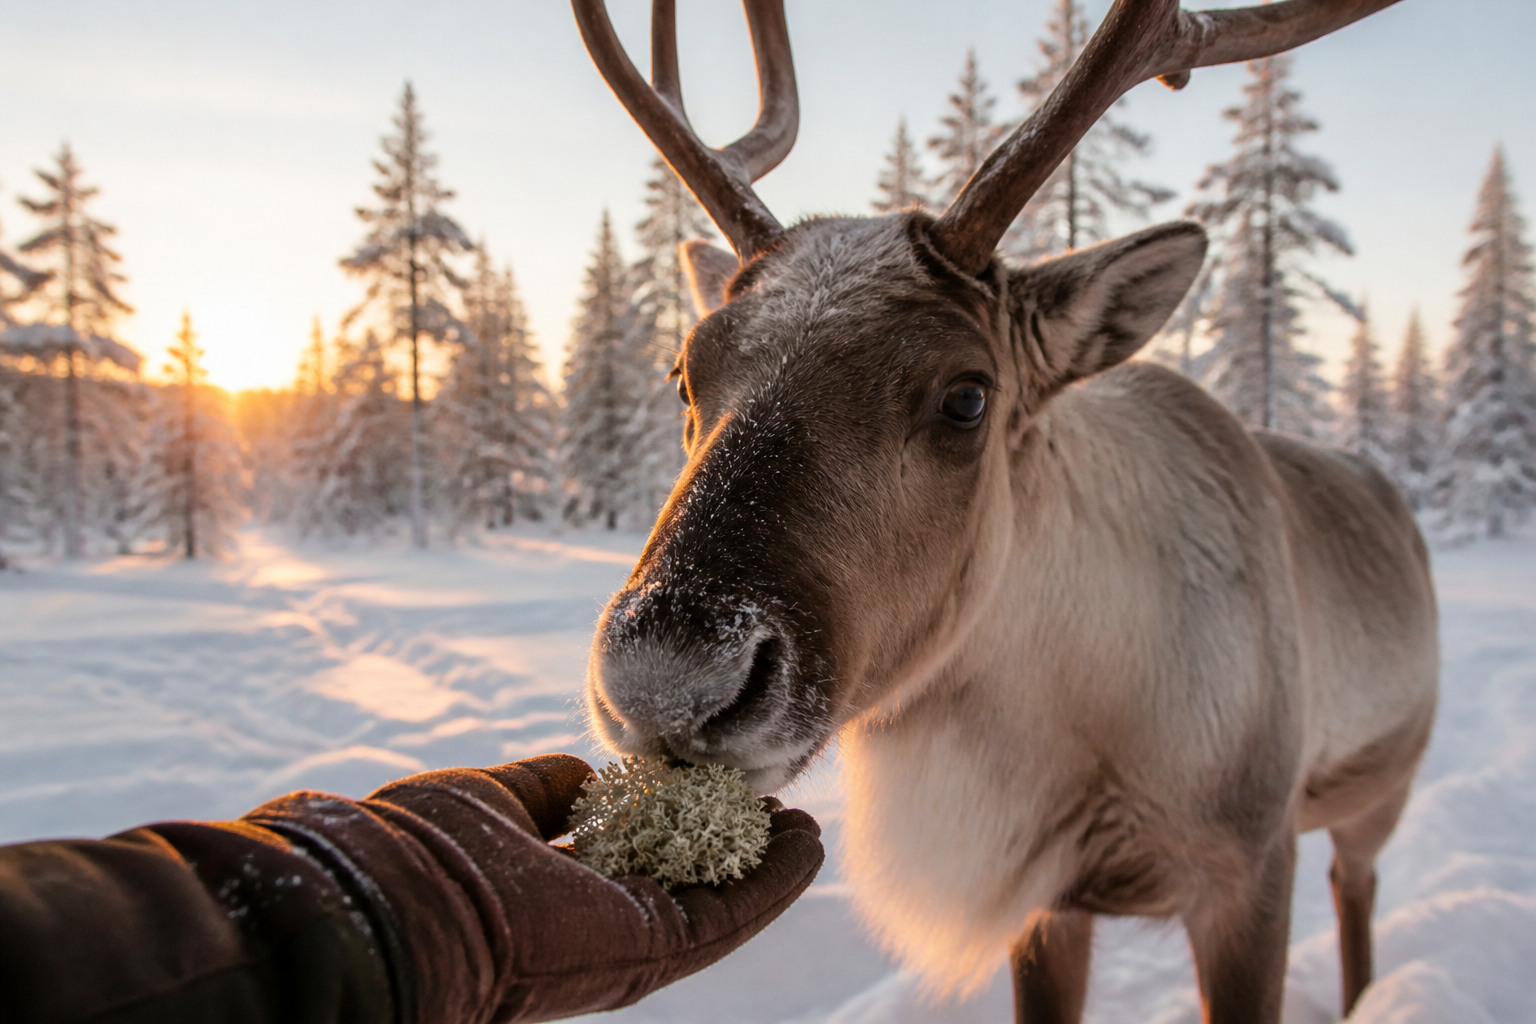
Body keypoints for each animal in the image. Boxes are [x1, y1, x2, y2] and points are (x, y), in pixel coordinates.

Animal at [572, 2, 1438, 1021]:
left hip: (1376, 797)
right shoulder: (1046, 903)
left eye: (967, 396)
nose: (665, 680)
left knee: (1357, 891)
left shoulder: (1251, 869)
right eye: (683, 373)